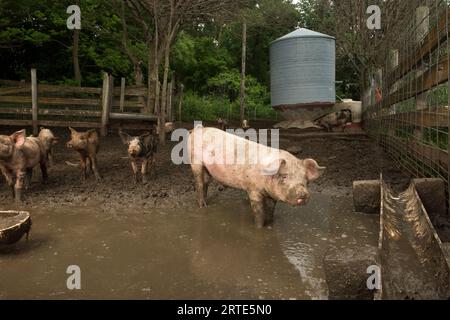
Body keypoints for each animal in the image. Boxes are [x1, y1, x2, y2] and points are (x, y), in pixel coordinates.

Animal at [188, 126, 326, 229]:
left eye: (305, 179)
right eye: (284, 176)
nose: (303, 193)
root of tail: (198, 129)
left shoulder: (271, 195)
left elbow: (271, 210)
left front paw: (270, 225)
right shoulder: (253, 190)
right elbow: (258, 211)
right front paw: (259, 228)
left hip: (207, 168)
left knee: (206, 182)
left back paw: (205, 203)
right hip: (195, 160)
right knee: (199, 182)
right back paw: (202, 206)